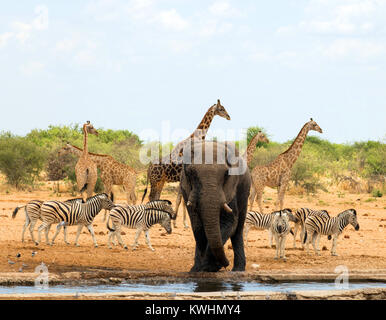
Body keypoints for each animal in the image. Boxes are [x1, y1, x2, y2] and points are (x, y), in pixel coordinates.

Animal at [180, 140, 252, 272]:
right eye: (191, 173)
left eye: (226, 174)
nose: (226, 264)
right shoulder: (186, 189)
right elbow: (197, 225)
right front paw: (201, 268)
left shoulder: (231, 188)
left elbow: (229, 222)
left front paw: (211, 266)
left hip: (245, 190)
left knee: (238, 230)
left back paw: (237, 270)